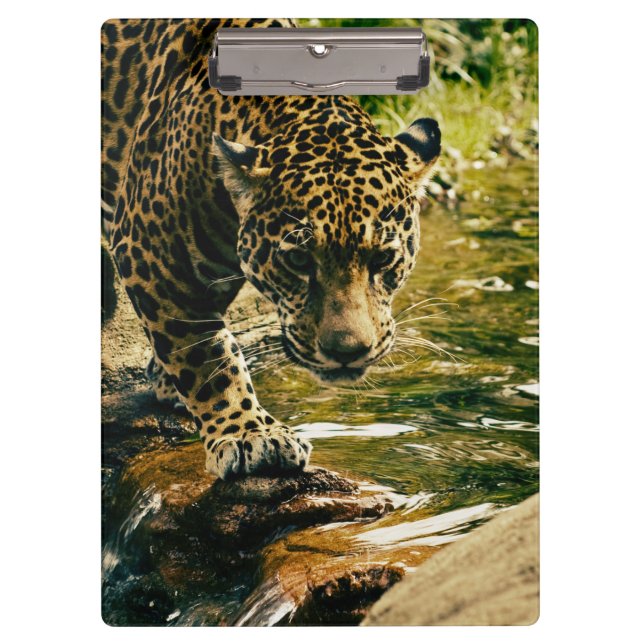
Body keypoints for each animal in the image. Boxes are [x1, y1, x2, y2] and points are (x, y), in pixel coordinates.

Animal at [101, 18, 441, 480]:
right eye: (298, 259)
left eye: (383, 259)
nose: (347, 354)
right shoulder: (151, 252)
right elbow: (208, 355)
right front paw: (250, 434)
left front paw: (168, 379)